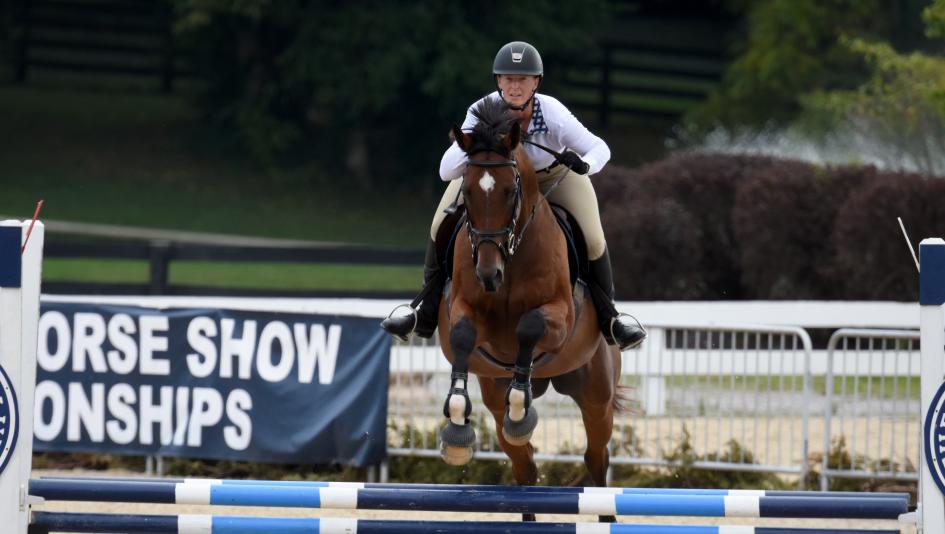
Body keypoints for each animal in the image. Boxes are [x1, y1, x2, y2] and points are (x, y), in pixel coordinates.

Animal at [436, 98, 628, 520]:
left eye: (512, 192)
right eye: (468, 193)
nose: (488, 274)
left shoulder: (559, 316)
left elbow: (528, 327)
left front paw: (520, 406)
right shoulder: (464, 312)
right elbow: (463, 337)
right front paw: (457, 426)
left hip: (596, 395)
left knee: (597, 461)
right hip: (493, 391)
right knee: (525, 467)